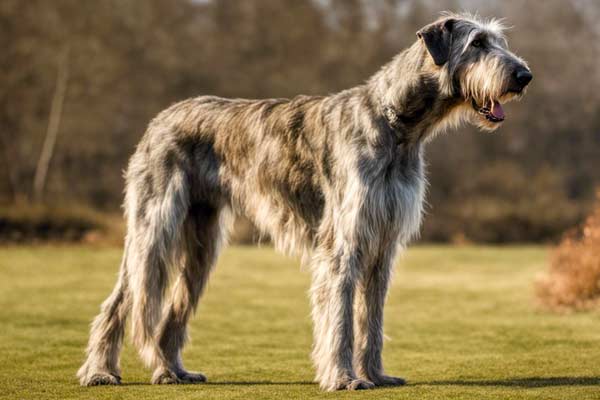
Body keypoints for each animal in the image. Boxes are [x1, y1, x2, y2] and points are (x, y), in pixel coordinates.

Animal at [78, 11, 528, 390]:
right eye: (477, 43)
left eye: (498, 40)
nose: (524, 75)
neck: (397, 124)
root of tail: (159, 119)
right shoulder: (343, 241)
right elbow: (341, 319)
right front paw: (345, 378)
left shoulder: (383, 242)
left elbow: (371, 318)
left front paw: (375, 375)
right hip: (154, 228)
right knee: (120, 301)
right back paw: (101, 371)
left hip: (200, 244)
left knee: (172, 311)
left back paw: (171, 370)